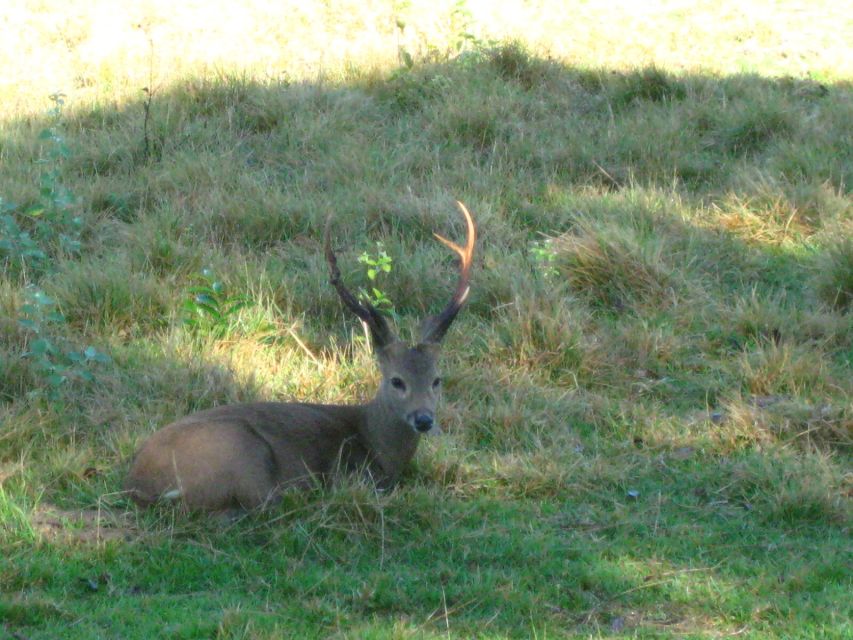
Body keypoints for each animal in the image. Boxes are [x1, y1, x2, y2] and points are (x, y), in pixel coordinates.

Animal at [123, 202, 476, 512]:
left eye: (436, 380)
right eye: (397, 380)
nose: (424, 419)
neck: (375, 442)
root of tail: (140, 484)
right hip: (242, 451)